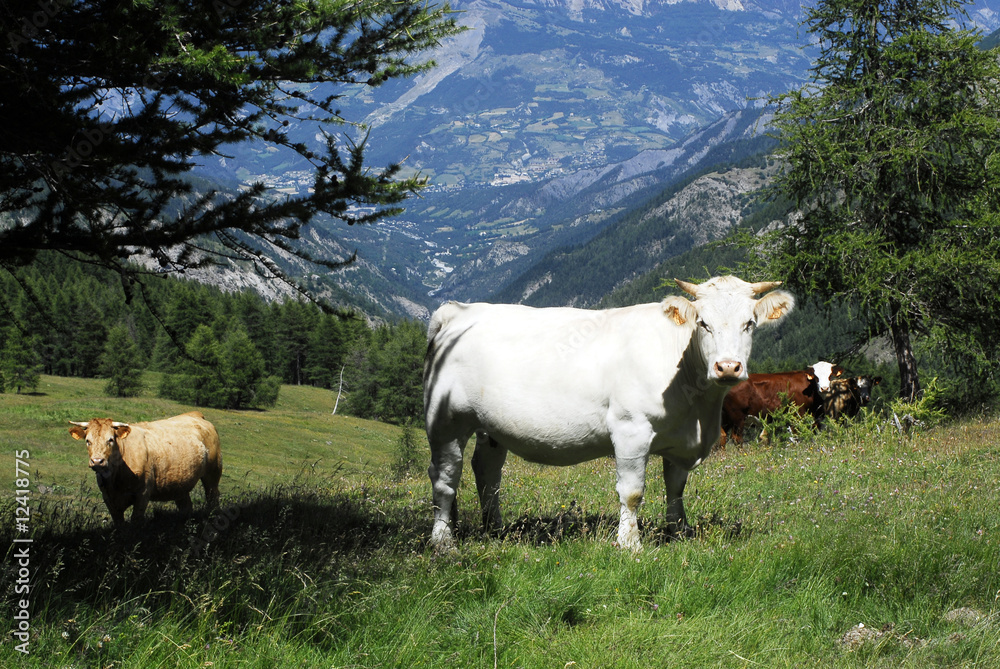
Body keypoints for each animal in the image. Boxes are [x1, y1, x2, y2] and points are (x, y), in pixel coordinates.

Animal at [69, 411, 222, 526]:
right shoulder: (108, 497)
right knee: (186, 507)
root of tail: (195, 415)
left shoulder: (143, 494)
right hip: (181, 483)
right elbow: (119, 523)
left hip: (213, 473)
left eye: (110, 440)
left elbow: (135, 520)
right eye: (88, 441)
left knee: (212, 498)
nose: (97, 461)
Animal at [423, 275, 794, 551]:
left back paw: (495, 529)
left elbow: (675, 488)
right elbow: (632, 492)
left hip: (489, 427)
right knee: (445, 478)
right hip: (446, 420)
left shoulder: (678, 439)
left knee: (487, 472)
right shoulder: (631, 430)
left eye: (750, 323)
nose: (728, 367)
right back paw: (443, 542)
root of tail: (459, 311)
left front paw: (679, 532)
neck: (700, 413)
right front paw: (630, 545)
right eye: (703, 323)